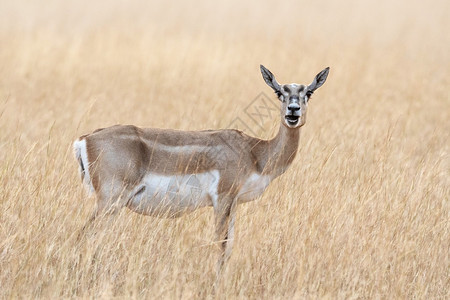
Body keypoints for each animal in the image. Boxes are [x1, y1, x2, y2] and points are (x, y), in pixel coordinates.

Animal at [73, 65, 326, 274]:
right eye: (279, 93)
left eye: (308, 93)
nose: (292, 111)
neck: (255, 152)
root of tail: (85, 139)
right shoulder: (222, 199)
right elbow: (220, 246)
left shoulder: (233, 204)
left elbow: (229, 247)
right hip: (110, 201)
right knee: (84, 235)